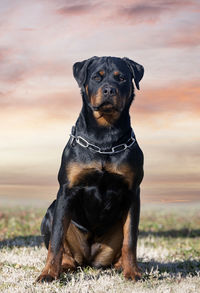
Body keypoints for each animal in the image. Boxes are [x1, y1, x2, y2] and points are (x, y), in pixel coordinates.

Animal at [36, 56, 145, 282]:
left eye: (122, 78)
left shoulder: (132, 193)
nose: (109, 90)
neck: (105, 139)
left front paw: (133, 272)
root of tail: (89, 260)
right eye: (97, 77)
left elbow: (130, 239)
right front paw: (48, 273)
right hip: (52, 211)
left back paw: (121, 266)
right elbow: (56, 240)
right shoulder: (67, 190)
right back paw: (64, 265)